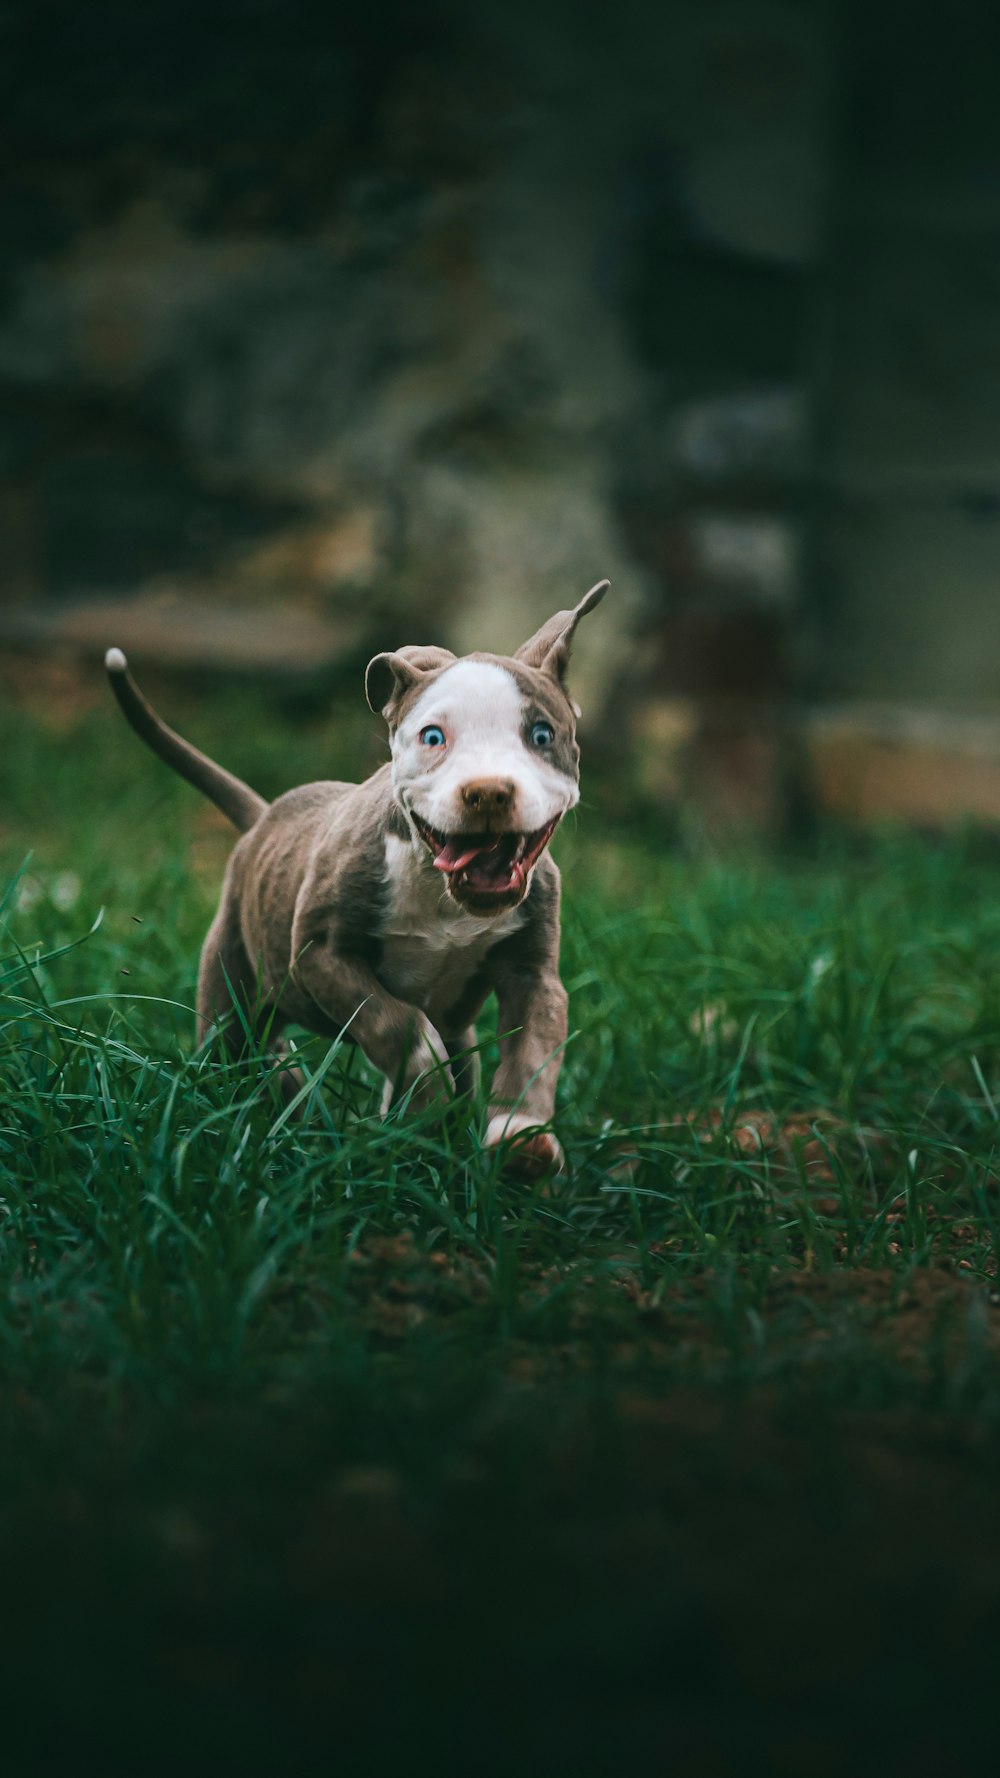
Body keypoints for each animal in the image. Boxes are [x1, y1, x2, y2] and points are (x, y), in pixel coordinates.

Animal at [108, 576, 608, 1173]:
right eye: (433, 737)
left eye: (541, 735)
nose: (487, 790)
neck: (443, 898)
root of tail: (263, 816)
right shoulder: (322, 956)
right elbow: (398, 1024)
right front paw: (424, 1098)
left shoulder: (532, 974)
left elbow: (534, 1047)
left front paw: (521, 1139)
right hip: (233, 978)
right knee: (234, 1046)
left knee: (456, 1054)